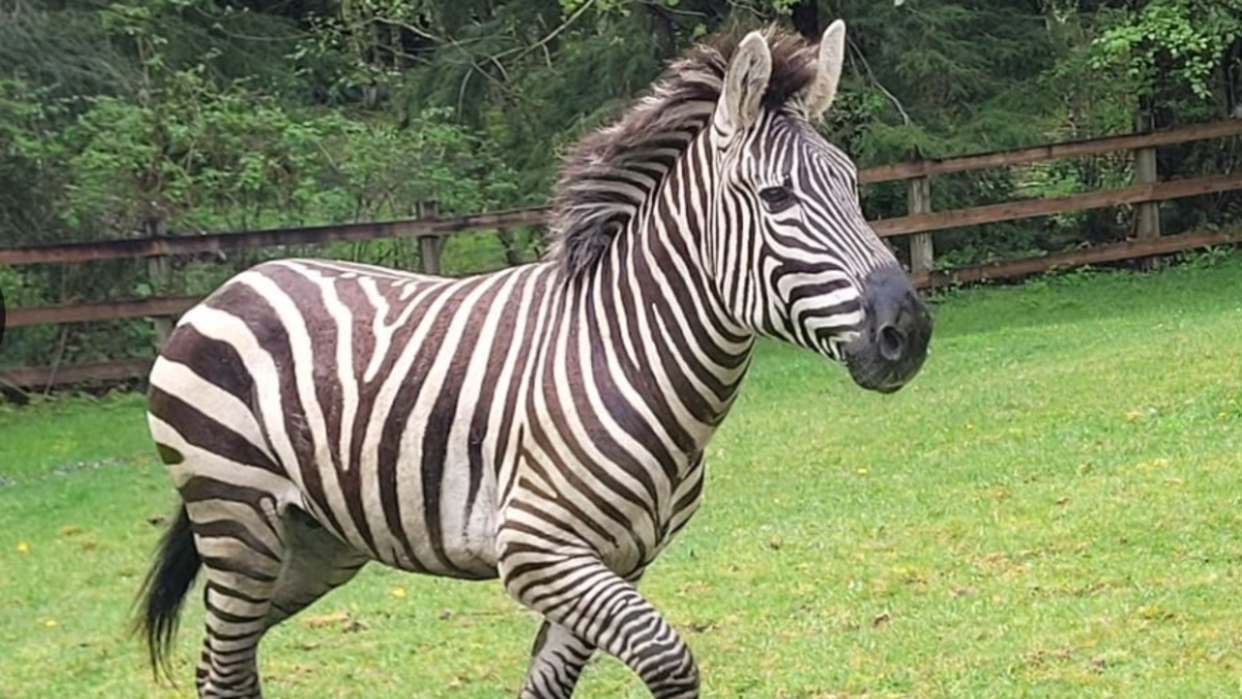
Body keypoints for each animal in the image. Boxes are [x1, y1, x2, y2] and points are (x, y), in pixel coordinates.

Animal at [138, 21, 933, 699]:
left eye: (852, 185)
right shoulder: (536, 549)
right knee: (223, 665)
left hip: (313, 542)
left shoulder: (613, 558)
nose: (911, 329)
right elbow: (669, 658)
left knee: (228, 661)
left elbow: (549, 683)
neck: (630, 355)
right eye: (775, 198)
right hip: (236, 517)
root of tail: (233, 284)